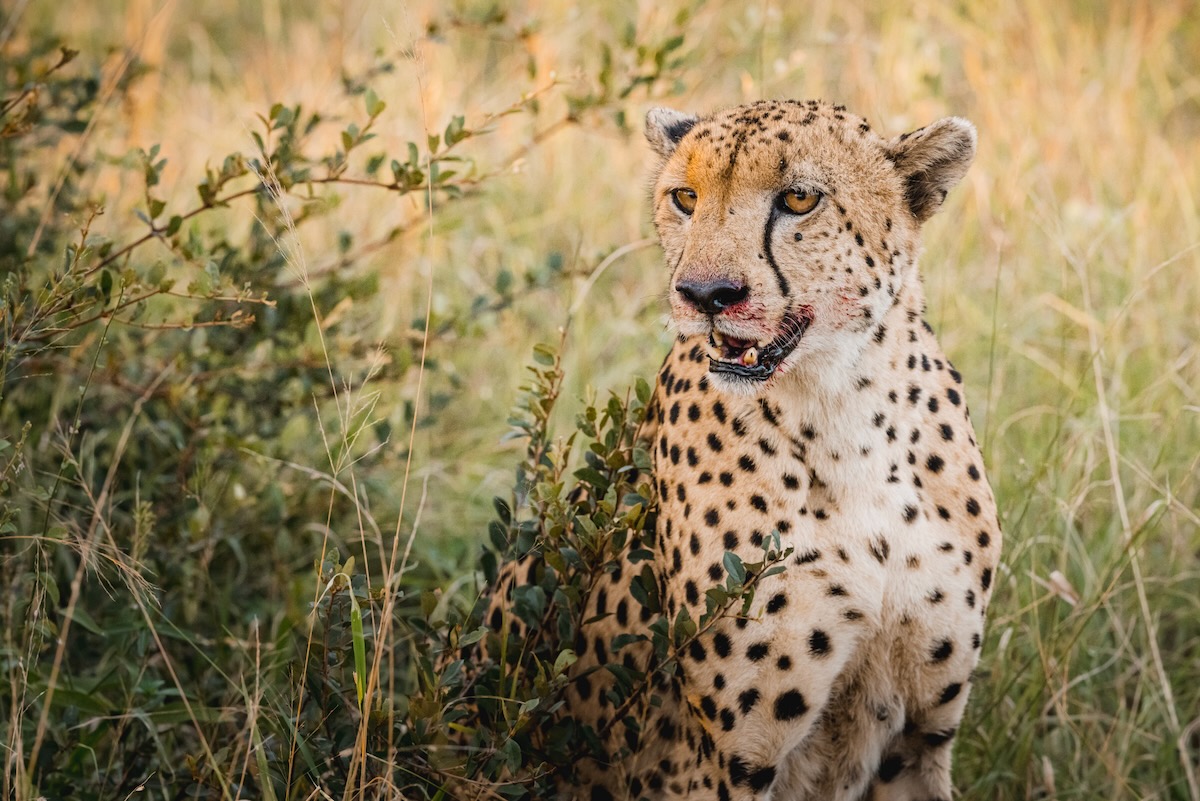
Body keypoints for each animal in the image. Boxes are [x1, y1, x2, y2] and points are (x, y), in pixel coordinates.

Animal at [482, 101, 998, 801]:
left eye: (799, 198)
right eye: (686, 197)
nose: (705, 295)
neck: (846, 412)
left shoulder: (921, 739)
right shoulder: (727, 762)